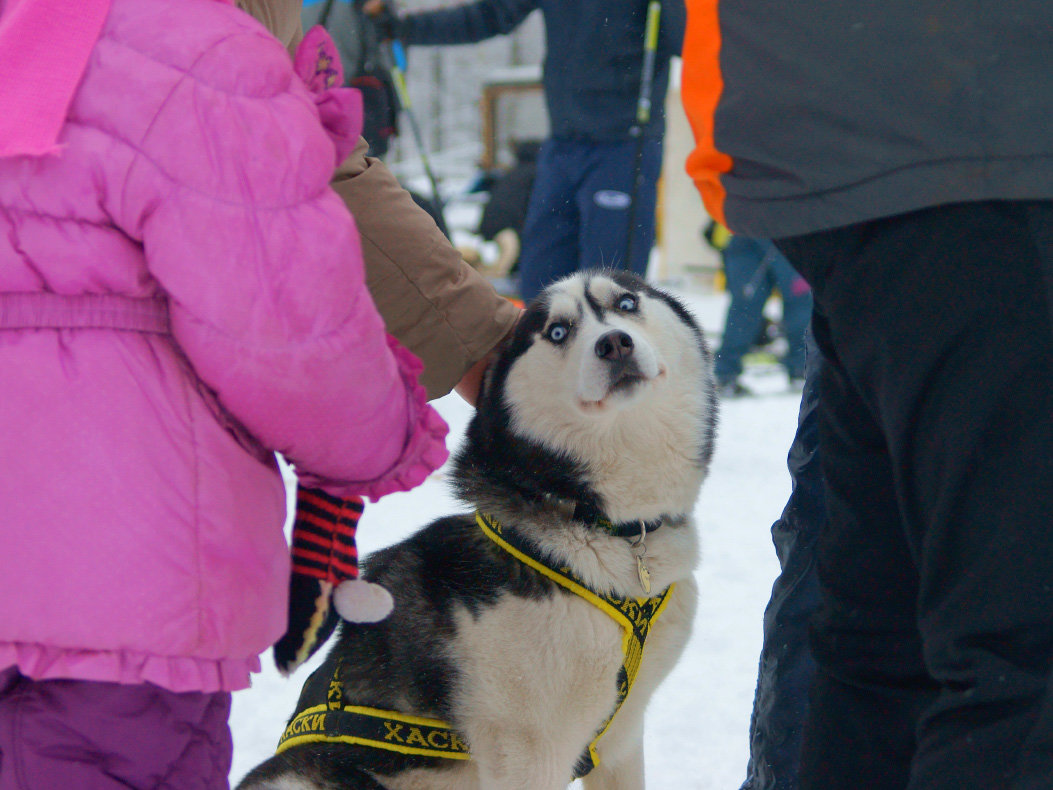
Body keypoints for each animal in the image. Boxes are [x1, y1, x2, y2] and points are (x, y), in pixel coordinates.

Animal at [239, 271, 716, 790]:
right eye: (557, 331)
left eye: (627, 303)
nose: (613, 343)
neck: (607, 528)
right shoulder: (529, 750)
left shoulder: (621, 739)